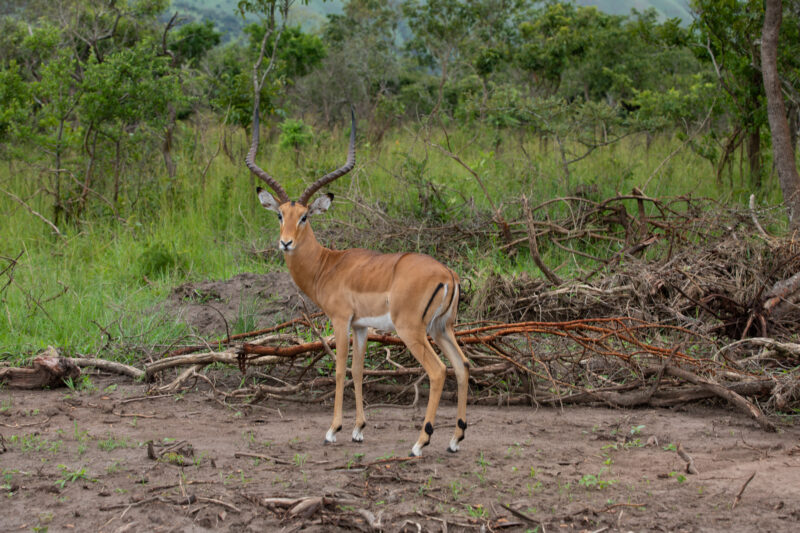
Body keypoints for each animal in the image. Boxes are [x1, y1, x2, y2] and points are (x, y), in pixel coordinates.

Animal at [246, 109, 469, 456]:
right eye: (280, 215)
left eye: (305, 216)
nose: (285, 243)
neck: (328, 265)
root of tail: (448, 275)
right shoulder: (361, 326)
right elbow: (358, 370)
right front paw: (358, 430)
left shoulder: (339, 320)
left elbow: (339, 369)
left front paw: (333, 430)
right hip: (441, 328)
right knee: (462, 367)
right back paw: (455, 440)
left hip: (413, 330)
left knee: (437, 370)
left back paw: (420, 442)